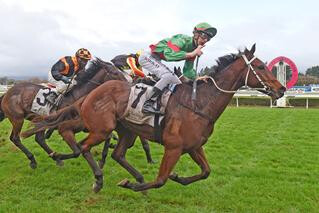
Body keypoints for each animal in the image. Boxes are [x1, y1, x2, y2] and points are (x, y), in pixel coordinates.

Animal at [0, 58, 154, 168]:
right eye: (116, 73)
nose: (130, 85)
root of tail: (7, 93)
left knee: (39, 138)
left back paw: (55, 159)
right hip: (17, 118)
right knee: (16, 138)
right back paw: (33, 160)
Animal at [23, 44, 286, 192]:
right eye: (260, 67)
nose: (281, 89)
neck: (199, 102)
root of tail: (92, 92)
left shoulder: (193, 146)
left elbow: (205, 172)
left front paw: (177, 177)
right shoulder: (174, 147)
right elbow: (160, 180)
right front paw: (133, 185)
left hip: (124, 130)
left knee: (113, 152)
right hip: (102, 128)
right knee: (83, 145)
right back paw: (97, 178)